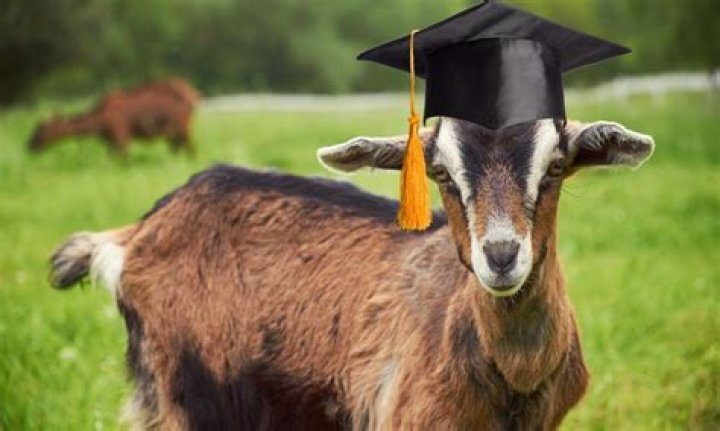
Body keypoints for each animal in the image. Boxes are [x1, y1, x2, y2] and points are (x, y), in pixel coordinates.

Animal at [29, 78, 200, 157]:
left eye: (41, 129)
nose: (30, 145)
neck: (98, 124)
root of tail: (194, 94)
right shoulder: (110, 141)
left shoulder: (121, 136)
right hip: (173, 130)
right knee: (177, 147)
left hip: (184, 125)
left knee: (189, 147)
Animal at [49, 117, 654, 429]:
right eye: (440, 172)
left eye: (556, 166)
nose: (501, 255)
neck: (514, 377)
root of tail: (133, 235)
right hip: (189, 394)